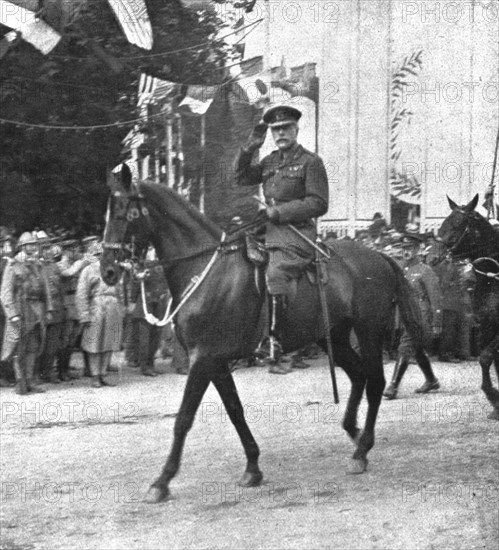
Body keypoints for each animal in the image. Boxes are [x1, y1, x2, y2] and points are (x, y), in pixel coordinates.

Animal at [100, 169, 426, 504]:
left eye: (126, 213)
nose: (107, 271)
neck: (206, 270)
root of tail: (380, 256)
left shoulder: (202, 358)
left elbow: (184, 418)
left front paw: (162, 481)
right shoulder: (214, 361)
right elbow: (235, 411)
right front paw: (253, 467)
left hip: (368, 331)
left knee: (375, 382)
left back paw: (361, 451)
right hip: (332, 336)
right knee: (360, 376)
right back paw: (354, 432)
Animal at [440, 196, 499, 420]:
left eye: (459, 223)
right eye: (445, 221)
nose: (432, 255)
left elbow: (486, 357)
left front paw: (493, 396)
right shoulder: (486, 326)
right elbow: (489, 361)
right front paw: (495, 402)